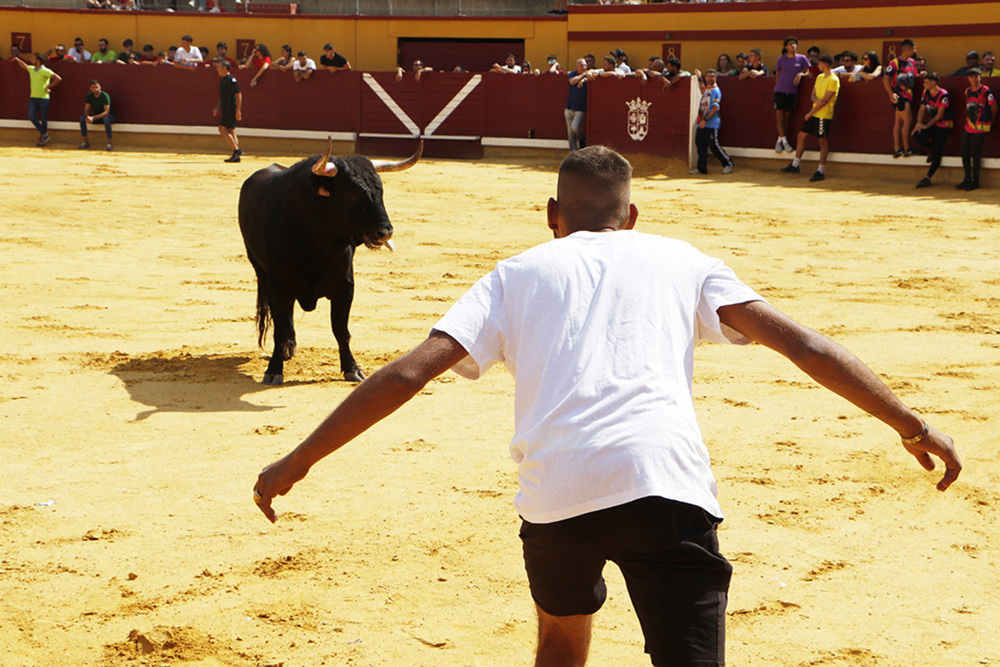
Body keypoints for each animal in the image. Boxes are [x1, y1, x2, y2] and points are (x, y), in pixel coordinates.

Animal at [238, 138, 422, 384]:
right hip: (260, 269)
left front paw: (352, 368)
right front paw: (274, 370)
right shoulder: (278, 286)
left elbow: (341, 330)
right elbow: (279, 329)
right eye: (352, 194)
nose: (385, 232)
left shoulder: (345, 287)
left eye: (380, 190)